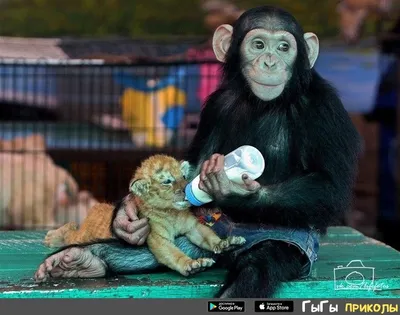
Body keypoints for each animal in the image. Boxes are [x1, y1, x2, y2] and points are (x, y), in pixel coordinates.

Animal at [33, 6, 362, 300]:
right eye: (258, 44)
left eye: (284, 47)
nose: (270, 61)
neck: (263, 102)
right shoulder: (216, 104)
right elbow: (196, 158)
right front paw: (125, 216)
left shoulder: (325, 109)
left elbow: (330, 186)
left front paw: (233, 189)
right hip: (199, 229)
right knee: (143, 252)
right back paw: (80, 260)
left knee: (257, 267)